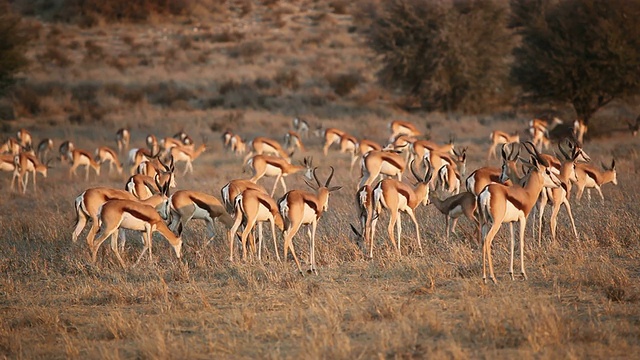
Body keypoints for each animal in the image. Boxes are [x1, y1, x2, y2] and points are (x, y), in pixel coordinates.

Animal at [476, 141, 560, 284]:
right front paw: (523, 273)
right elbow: (521, 241)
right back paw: (493, 278)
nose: (559, 182)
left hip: (484, 222)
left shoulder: (511, 222)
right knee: (487, 241)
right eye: (548, 171)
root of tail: (487, 190)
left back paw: (484, 277)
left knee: (482, 241)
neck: (525, 193)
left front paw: (511, 274)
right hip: (496, 223)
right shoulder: (523, 219)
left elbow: (512, 242)